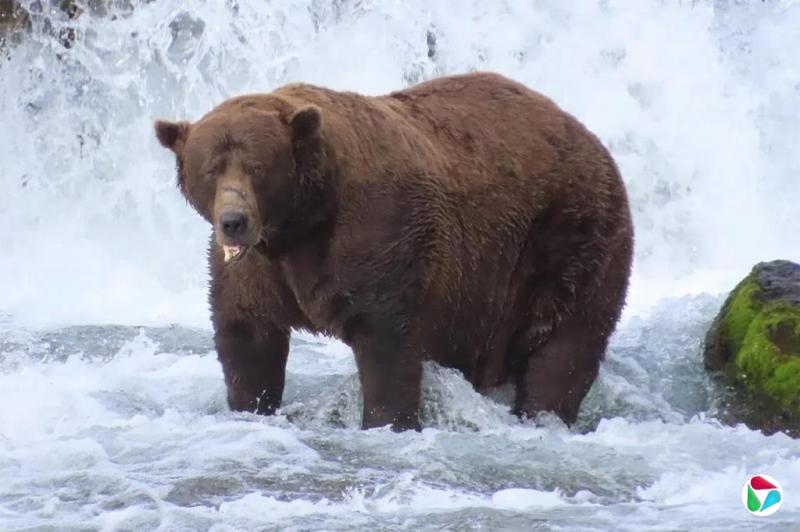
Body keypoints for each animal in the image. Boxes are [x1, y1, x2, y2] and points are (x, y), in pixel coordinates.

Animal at [154, 72, 633, 431]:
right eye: (211, 169)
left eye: (257, 167)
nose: (234, 220)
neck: (301, 223)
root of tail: (592, 139)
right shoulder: (257, 269)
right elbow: (247, 334)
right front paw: (251, 405)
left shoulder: (378, 234)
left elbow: (387, 343)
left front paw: (387, 420)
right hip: (485, 293)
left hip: (570, 237)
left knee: (565, 345)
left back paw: (544, 413)